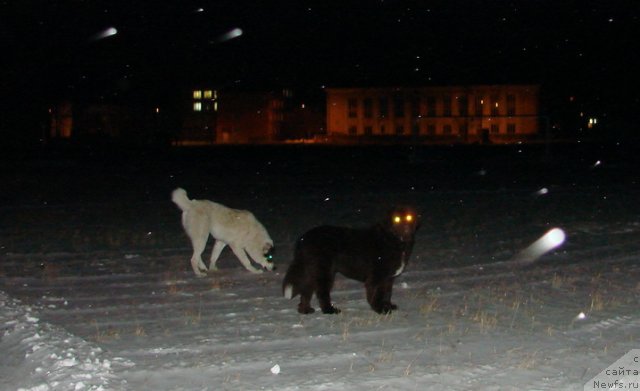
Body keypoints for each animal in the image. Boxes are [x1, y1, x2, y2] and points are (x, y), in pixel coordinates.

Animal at [282, 208, 418, 316]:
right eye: (396, 219)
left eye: (409, 218)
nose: (406, 228)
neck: (392, 239)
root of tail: (303, 238)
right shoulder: (376, 277)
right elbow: (377, 295)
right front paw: (380, 310)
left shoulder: (388, 278)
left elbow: (387, 293)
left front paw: (388, 306)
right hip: (324, 272)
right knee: (321, 293)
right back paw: (329, 311)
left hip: (311, 271)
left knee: (306, 290)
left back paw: (305, 310)